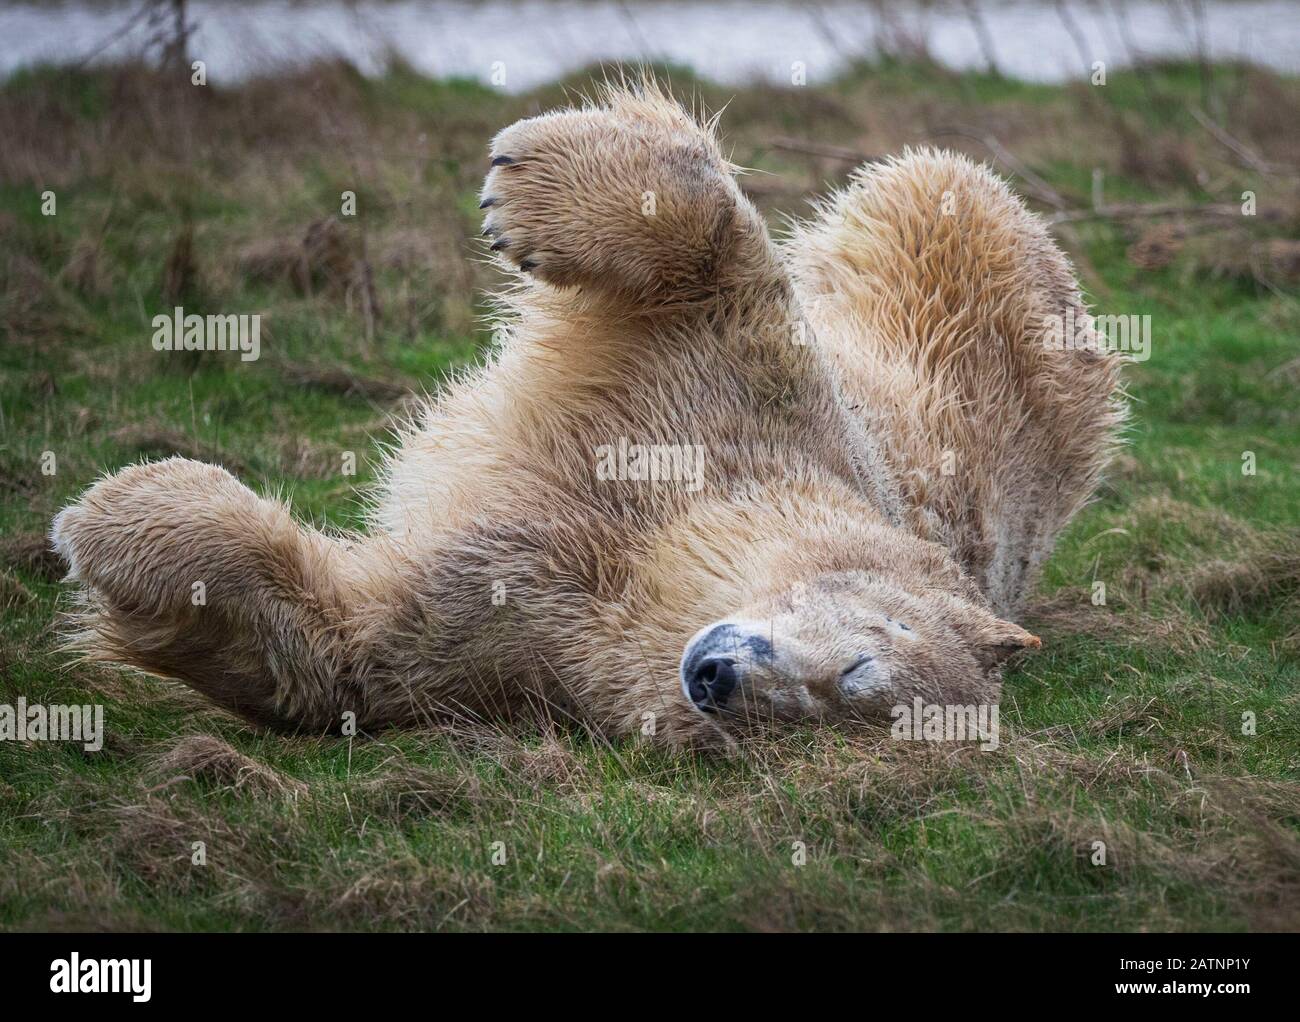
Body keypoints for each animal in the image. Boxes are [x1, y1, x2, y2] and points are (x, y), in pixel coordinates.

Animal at [48, 79, 1128, 743]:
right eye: (865, 657)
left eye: (829, 713)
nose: (720, 677)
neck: (669, 541)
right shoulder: (759, 400)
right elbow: (713, 247)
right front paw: (523, 186)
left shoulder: (538, 642)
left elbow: (344, 650)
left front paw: (123, 526)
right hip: (944, 257)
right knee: (918, 192)